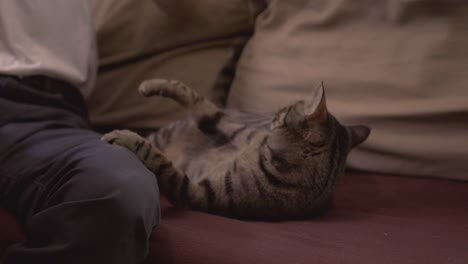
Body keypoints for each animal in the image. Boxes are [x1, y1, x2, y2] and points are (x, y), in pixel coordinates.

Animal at [102, 79, 370, 221]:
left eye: (284, 112)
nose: (274, 112)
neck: (265, 155)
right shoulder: (238, 129)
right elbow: (199, 102)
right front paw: (153, 85)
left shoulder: (192, 192)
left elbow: (157, 159)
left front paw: (123, 136)